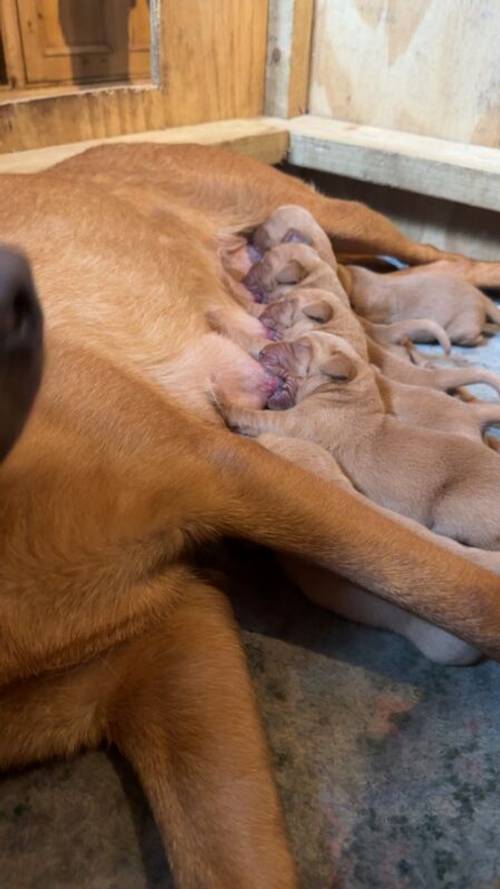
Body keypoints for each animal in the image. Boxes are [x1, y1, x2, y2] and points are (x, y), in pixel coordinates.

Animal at [219, 332, 500, 548]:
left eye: (302, 347)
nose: (263, 351)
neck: (351, 394)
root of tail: (475, 416)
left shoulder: (291, 423)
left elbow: (255, 416)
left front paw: (221, 399)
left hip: (456, 511)